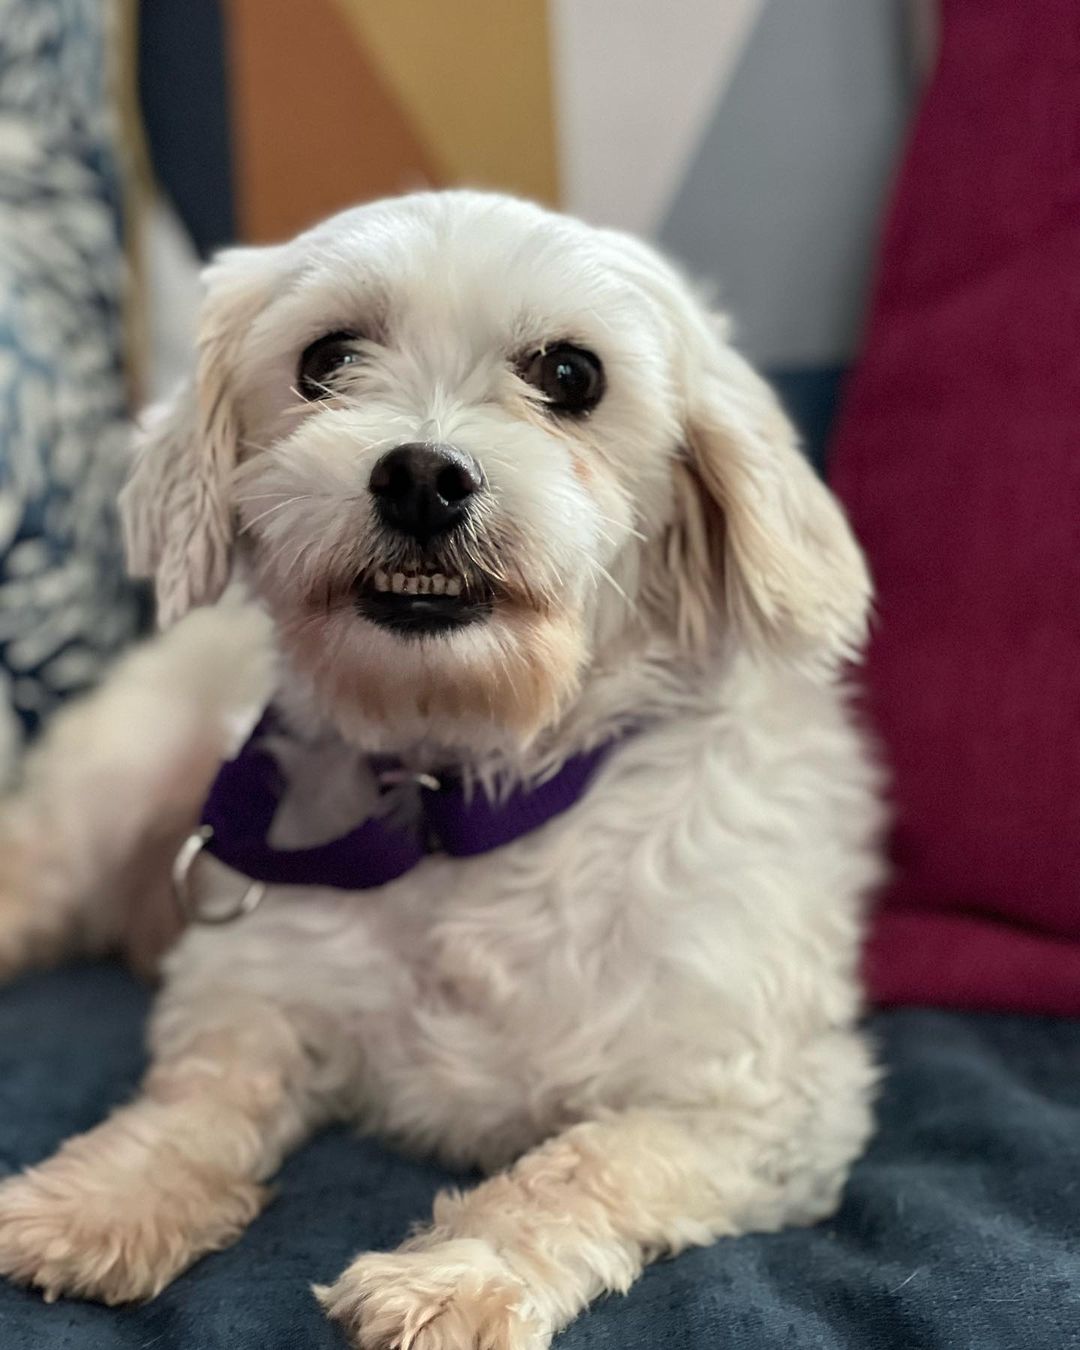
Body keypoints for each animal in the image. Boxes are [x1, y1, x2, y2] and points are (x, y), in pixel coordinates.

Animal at [0, 190, 880, 1350]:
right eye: (326, 359)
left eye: (571, 375)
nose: (421, 474)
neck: (458, 799)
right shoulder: (252, 982)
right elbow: (194, 1101)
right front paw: (102, 1196)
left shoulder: (765, 1105)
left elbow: (586, 1163)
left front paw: (458, 1275)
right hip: (101, 793)